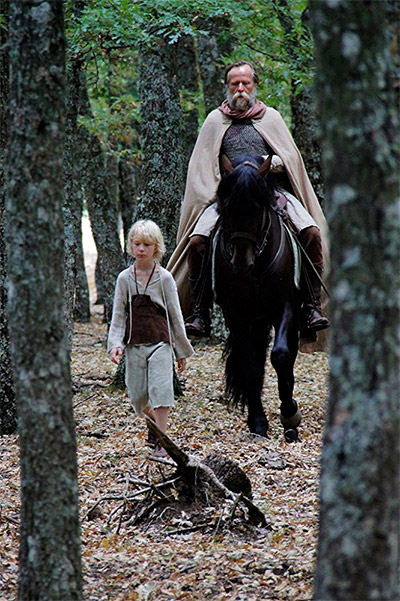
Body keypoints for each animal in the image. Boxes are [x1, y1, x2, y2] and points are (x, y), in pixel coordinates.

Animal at [213, 154, 302, 442]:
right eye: (227, 208)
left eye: (256, 208)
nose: (241, 264)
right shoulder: (236, 314)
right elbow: (249, 364)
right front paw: (258, 423)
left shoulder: (285, 306)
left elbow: (281, 355)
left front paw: (290, 414)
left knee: (288, 354)